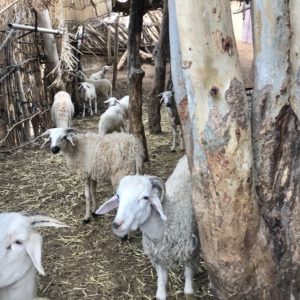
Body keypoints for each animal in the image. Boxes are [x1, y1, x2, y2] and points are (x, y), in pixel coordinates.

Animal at [96, 156, 199, 300]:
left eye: (145, 197)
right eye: (118, 196)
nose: (117, 224)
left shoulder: (190, 251)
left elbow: (188, 289)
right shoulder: (158, 257)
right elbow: (160, 292)